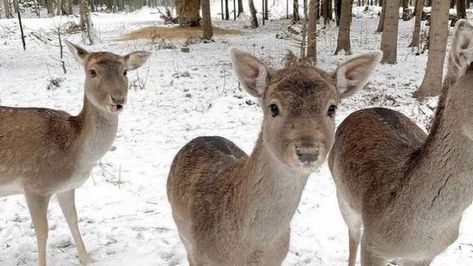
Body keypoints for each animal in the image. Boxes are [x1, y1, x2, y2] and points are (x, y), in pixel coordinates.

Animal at [0, 42, 149, 264]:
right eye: (92, 71)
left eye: (125, 72)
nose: (118, 99)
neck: (75, 157)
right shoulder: (34, 186)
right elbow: (42, 232)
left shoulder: (66, 187)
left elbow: (73, 219)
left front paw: (87, 259)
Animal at [166, 46, 380, 264]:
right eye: (274, 107)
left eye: (332, 108)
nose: (307, 152)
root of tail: (201, 137)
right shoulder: (201, 256)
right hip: (183, 234)